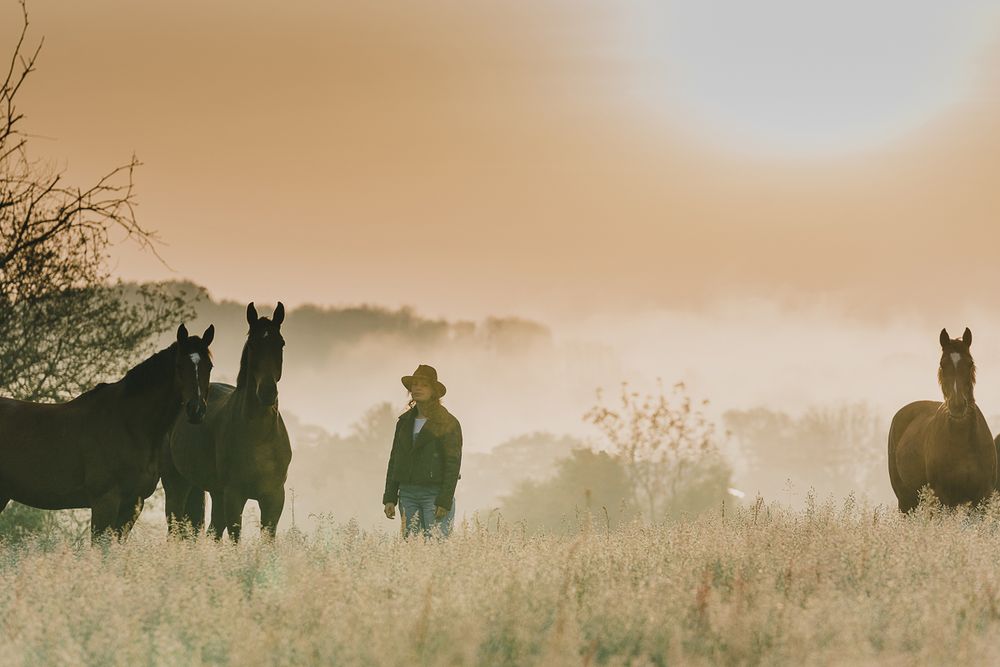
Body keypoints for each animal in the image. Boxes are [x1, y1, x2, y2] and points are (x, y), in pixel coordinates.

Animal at [0, 324, 215, 542]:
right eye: (179, 366)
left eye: (209, 366)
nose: (196, 410)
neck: (128, 424)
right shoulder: (105, 502)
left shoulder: (132, 505)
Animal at [163, 302, 291, 541]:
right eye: (252, 344)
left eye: (281, 343)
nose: (267, 392)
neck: (259, 435)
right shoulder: (234, 495)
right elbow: (235, 539)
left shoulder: (274, 497)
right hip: (177, 485)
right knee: (175, 528)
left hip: (215, 491)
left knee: (213, 529)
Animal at [888, 327, 996, 512]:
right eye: (942, 364)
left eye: (970, 363)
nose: (957, 405)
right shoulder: (943, 498)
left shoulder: (983, 496)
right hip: (906, 501)